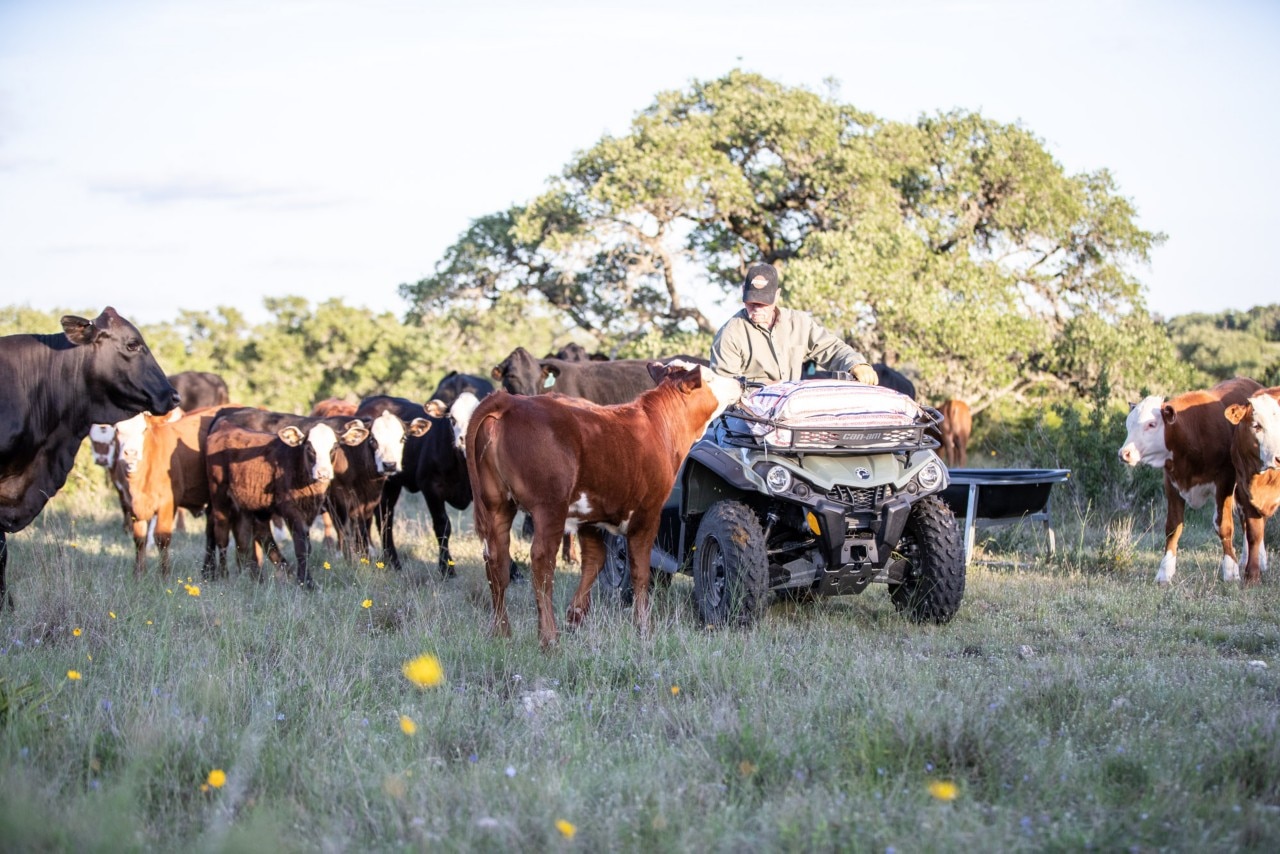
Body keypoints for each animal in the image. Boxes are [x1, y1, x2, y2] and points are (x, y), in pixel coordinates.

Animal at [113, 405, 235, 578]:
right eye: (117, 430)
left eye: (144, 429)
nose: (130, 453)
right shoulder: (133, 505)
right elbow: (139, 539)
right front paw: (139, 574)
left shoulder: (168, 502)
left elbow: (162, 538)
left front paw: (164, 575)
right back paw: (208, 571)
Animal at [205, 416, 369, 587]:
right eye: (309, 448)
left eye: (334, 447)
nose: (323, 473)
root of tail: (225, 426)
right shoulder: (290, 509)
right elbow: (301, 546)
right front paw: (306, 583)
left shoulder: (308, 511)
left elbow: (307, 546)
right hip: (220, 499)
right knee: (222, 536)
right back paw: (224, 576)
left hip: (253, 505)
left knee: (251, 537)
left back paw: (258, 577)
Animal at [356, 394, 480, 577]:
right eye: (452, 418)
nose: (464, 438)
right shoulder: (431, 487)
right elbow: (442, 526)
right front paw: (446, 568)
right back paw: (389, 561)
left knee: (383, 517)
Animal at [466, 361, 744, 647]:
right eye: (709, 377)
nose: (741, 382)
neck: (658, 427)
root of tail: (509, 400)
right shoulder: (647, 514)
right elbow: (640, 572)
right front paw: (643, 628)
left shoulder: (589, 515)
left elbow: (595, 559)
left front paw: (575, 616)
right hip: (549, 507)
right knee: (542, 564)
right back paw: (549, 639)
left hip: (497, 505)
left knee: (497, 562)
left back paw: (501, 632)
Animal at [1118, 376, 1263, 585]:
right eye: (1129, 425)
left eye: (1151, 424)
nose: (1124, 453)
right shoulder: (1172, 482)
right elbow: (1173, 527)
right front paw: (1165, 572)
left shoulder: (1225, 482)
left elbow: (1224, 526)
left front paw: (1230, 571)